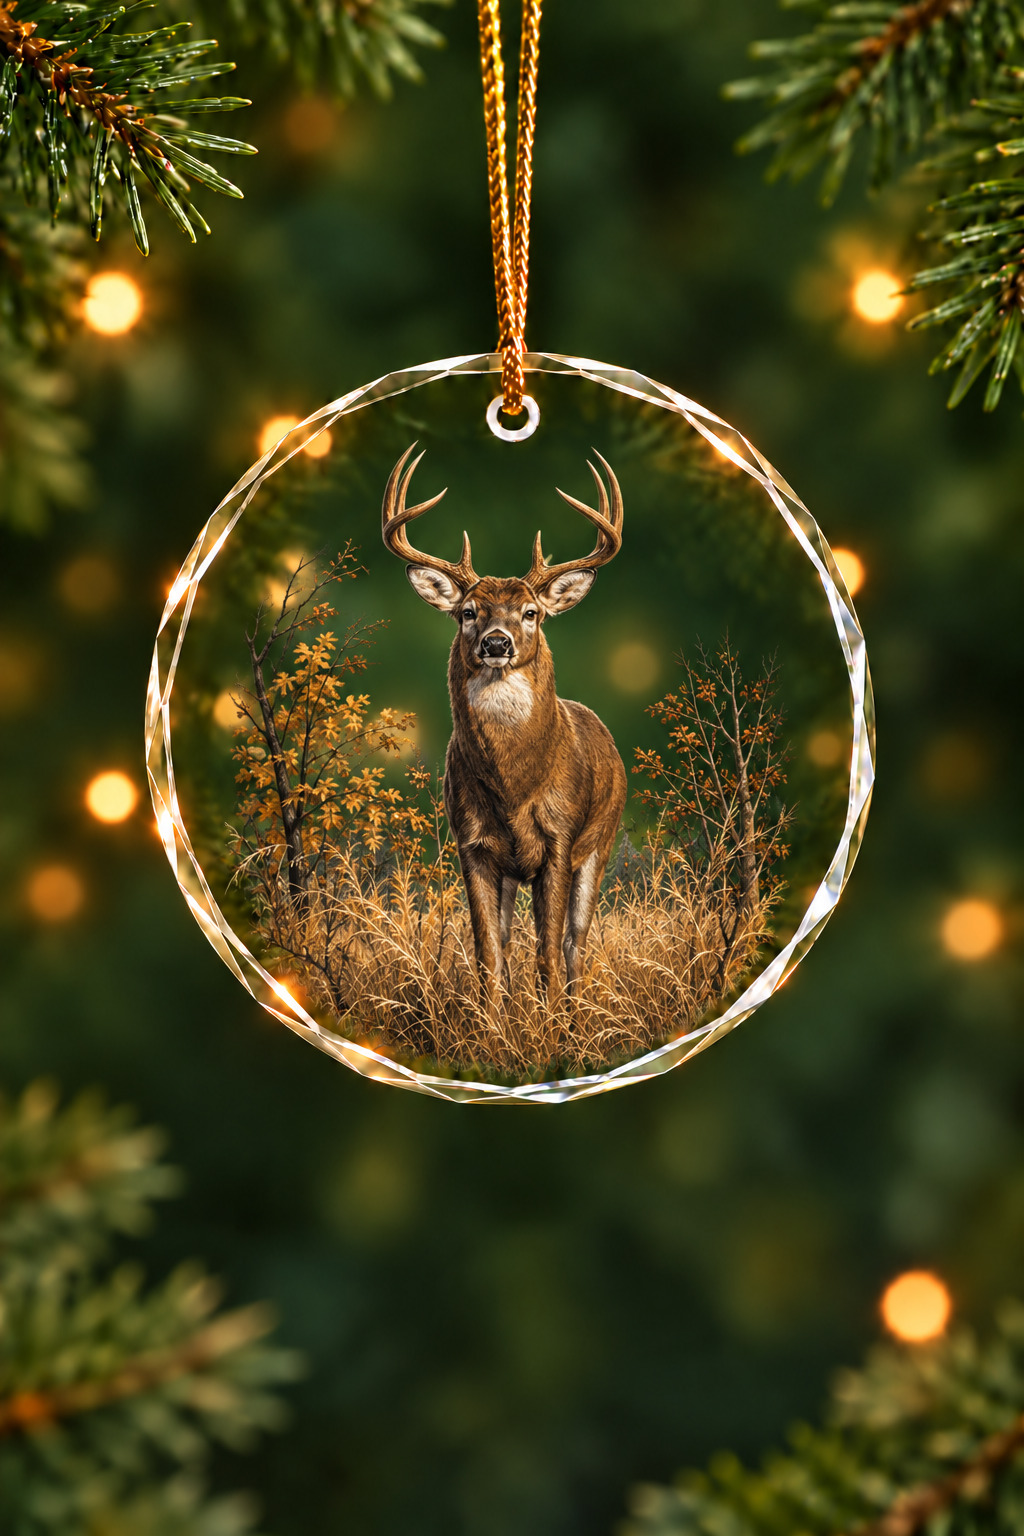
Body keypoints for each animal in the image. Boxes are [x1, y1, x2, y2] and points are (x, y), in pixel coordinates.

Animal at [382, 443, 627, 1013]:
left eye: (531, 612)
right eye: (468, 611)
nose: (497, 642)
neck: (514, 785)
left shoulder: (560, 839)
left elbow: (549, 950)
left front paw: (550, 1023)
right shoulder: (471, 842)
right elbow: (488, 950)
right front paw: (492, 1024)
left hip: (600, 841)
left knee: (575, 942)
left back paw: (575, 1013)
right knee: (513, 940)